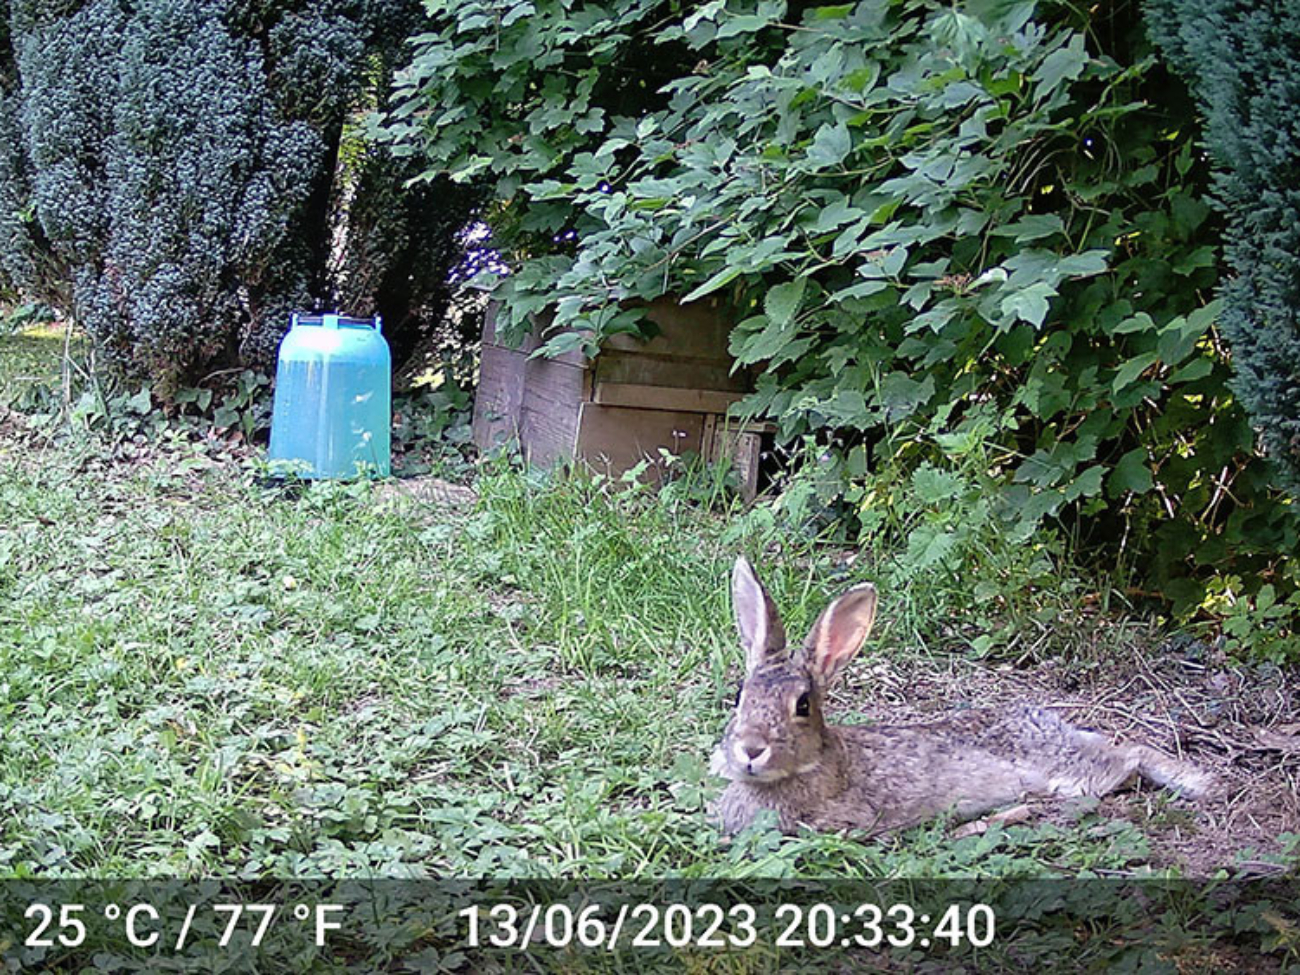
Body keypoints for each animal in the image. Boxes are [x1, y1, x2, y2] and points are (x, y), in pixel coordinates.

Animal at [707, 561, 1211, 837]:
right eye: (739, 697)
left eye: (802, 706)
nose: (750, 748)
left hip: (1073, 771)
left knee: (1129, 754)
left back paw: (1201, 784)